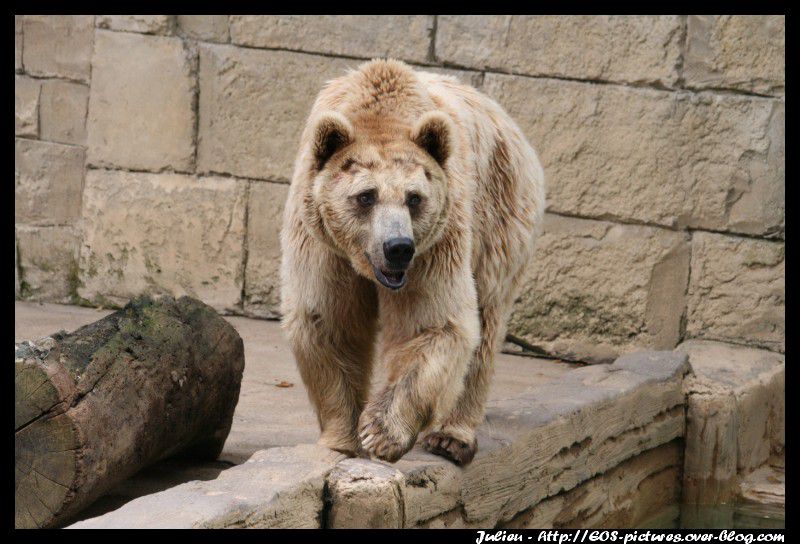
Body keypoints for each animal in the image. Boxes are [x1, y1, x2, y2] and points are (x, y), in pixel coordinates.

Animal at [278, 59, 548, 466]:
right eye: (366, 196)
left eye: (414, 198)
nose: (398, 247)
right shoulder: (323, 245)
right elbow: (329, 322)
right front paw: (341, 438)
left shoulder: (438, 243)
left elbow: (431, 323)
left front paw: (380, 431)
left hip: (499, 215)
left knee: (486, 319)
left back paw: (452, 437)